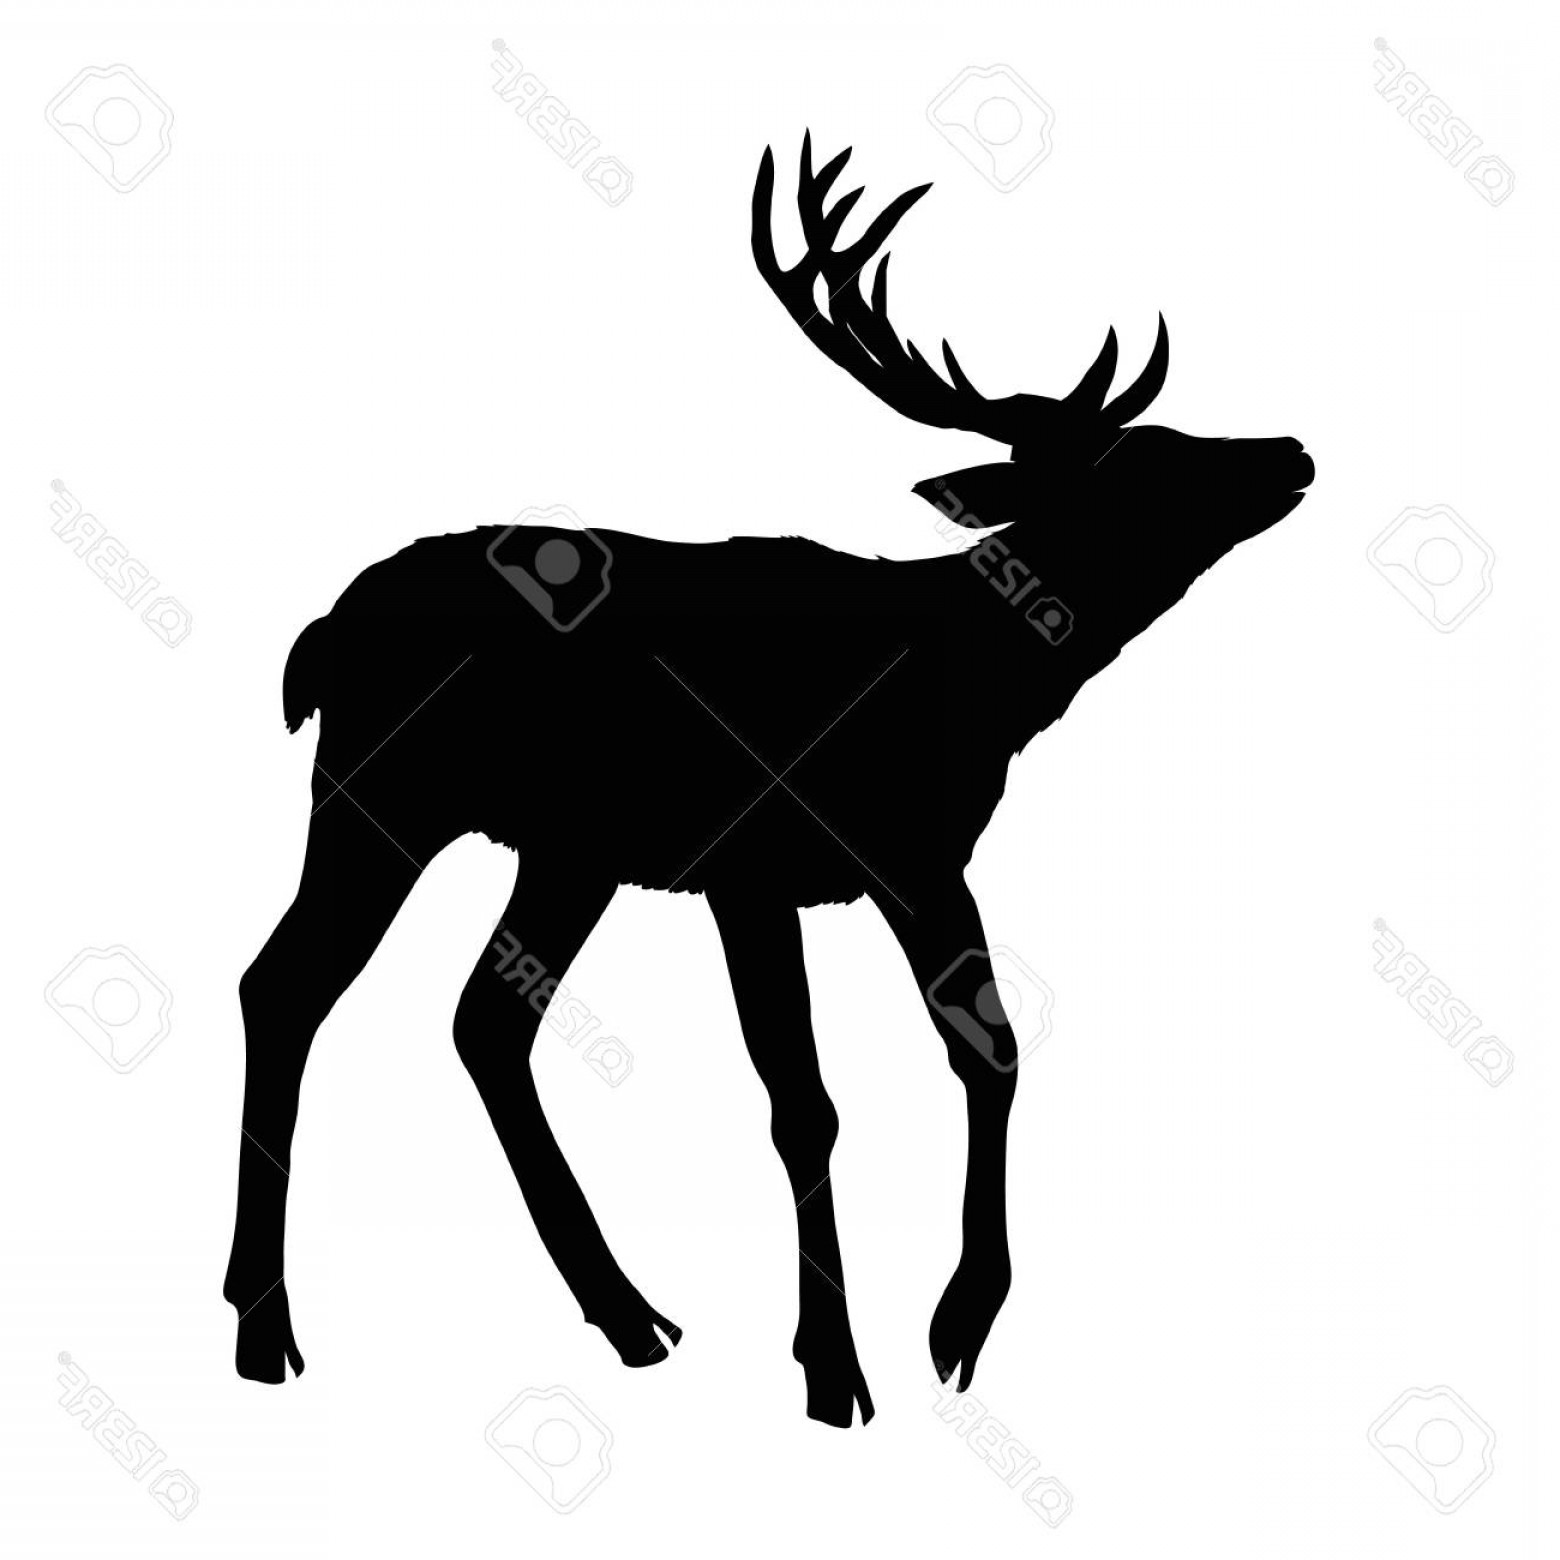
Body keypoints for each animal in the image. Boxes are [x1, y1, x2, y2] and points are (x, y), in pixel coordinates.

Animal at [224, 133, 1313, 1428]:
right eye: (1140, 460)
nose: (1291, 452)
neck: (960, 684)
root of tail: (319, 636)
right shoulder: (759, 864)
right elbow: (808, 1101)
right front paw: (842, 1364)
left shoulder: (913, 858)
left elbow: (986, 1047)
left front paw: (955, 1324)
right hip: (379, 792)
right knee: (284, 986)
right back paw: (263, 1328)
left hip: (566, 849)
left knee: (483, 1018)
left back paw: (630, 1316)